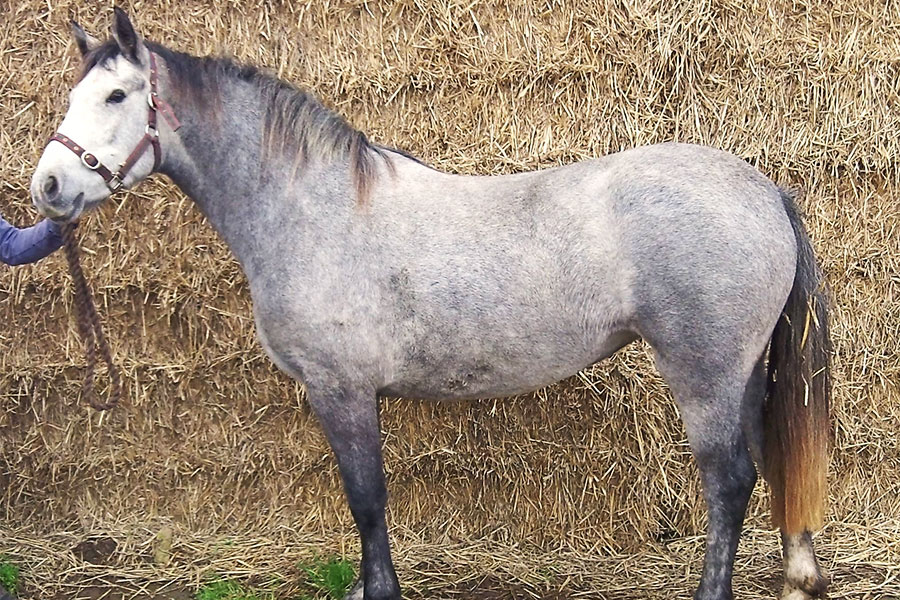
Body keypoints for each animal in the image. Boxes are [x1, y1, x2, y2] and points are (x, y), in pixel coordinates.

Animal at [30, 9, 831, 600]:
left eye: (116, 96)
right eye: (73, 96)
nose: (49, 188)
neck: (313, 207)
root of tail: (764, 189)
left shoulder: (341, 390)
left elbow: (366, 497)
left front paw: (376, 589)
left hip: (704, 372)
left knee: (728, 480)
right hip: (741, 373)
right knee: (763, 463)